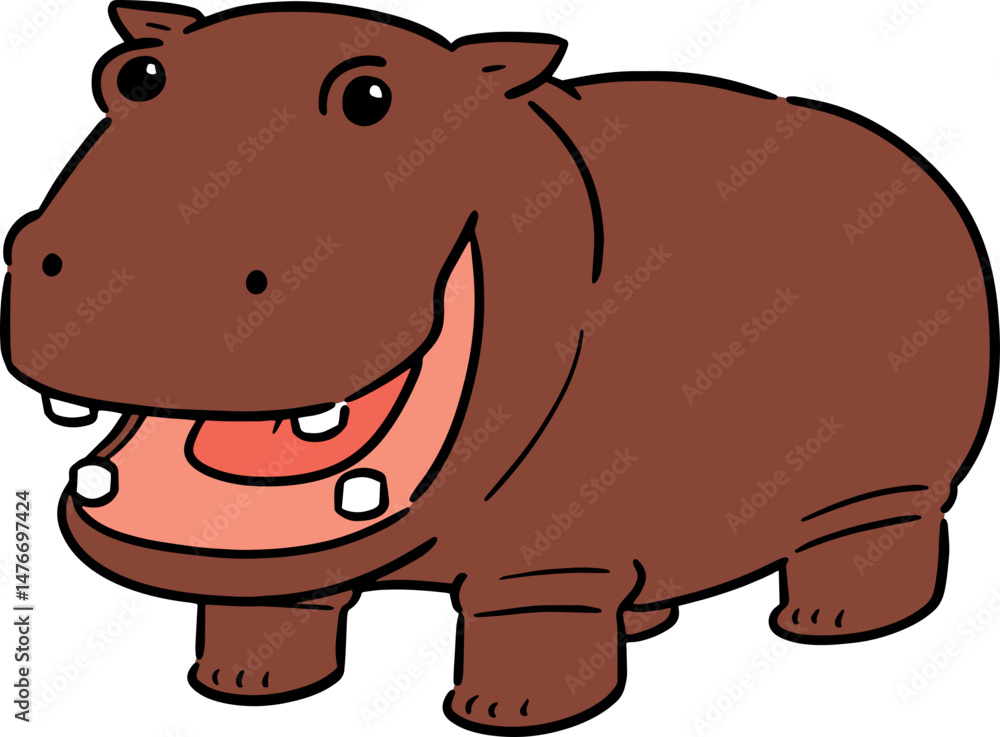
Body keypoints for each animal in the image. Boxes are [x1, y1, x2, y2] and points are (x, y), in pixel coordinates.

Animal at [2, 0, 997, 733]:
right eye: (132, 75)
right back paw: (653, 620)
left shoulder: (547, 555)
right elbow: (271, 606)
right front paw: (241, 688)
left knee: (876, 537)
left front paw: (503, 712)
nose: (118, 262)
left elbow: (522, 624)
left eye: (371, 97)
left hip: (890, 483)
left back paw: (831, 627)